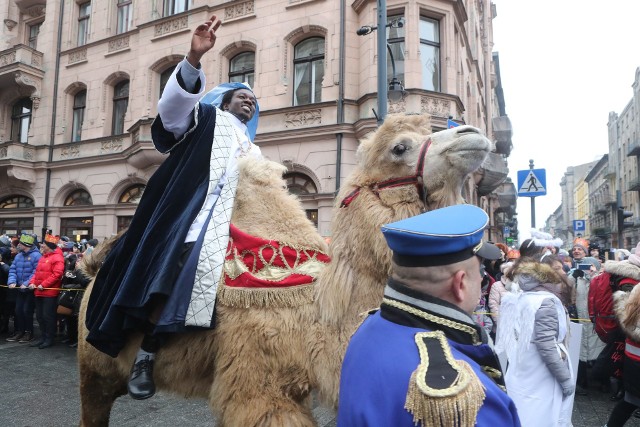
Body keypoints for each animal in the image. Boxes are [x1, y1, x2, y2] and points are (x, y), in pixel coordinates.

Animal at [77, 113, 492, 427]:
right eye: (400, 147)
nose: (471, 134)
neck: (316, 307)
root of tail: (92, 267)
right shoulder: (257, 383)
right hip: (94, 366)